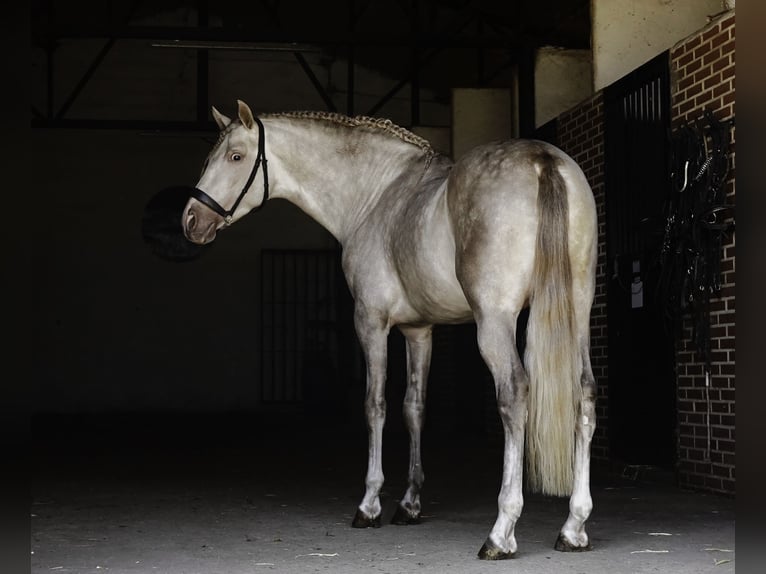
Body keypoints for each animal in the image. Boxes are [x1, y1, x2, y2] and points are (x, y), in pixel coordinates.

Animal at [181, 100, 598, 560]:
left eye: (236, 157)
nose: (191, 220)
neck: (376, 195)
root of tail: (543, 162)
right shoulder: (419, 330)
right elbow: (414, 407)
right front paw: (409, 504)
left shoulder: (371, 321)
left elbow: (375, 405)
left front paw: (369, 505)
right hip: (577, 311)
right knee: (585, 394)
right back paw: (573, 526)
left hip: (496, 320)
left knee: (514, 394)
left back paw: (501, 531)